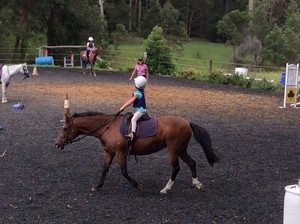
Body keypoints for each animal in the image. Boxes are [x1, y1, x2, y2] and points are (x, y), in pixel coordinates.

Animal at [55, 111, 219, 193]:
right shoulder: (109, 152)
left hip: (173, 149)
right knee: (192, 163)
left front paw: (137, 185)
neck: (107, 127)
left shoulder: (120, 152)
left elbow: (124, 172)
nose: (57, 143)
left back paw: (166, 189)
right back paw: (197, 184)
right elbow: (104, 170)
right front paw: (98, 186)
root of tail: (187, 122)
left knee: (176, 168)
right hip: (180, 149)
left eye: (65, 128)